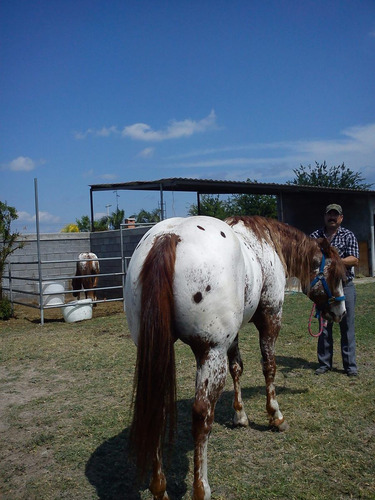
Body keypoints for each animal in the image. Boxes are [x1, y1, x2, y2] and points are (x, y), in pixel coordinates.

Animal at [125, 216, 348, 500]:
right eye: (336, 275)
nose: (340, 312)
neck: (265, 243)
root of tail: (169, 237)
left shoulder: (234, 334)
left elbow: (237, 368)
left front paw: (240, 415)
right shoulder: (270, 318)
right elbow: (269, 367)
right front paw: (275, 416)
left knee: (158, 411)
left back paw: (160, 490)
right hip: (210, 352)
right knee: (201, 415)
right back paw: (201, 488)